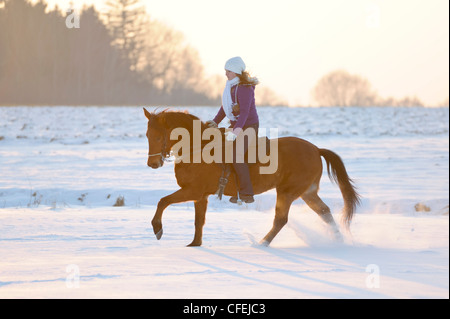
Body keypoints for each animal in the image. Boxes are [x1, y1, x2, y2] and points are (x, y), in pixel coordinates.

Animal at [144, 108, 362, 248]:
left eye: (158, 136)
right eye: (147, 135)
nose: (152, 164)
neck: (200, 148)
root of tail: (316, 149)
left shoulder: (192, 191)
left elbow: (163, 201)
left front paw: (157, 228)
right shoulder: (201, 196)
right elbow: (199, 221)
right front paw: (195, 244)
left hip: (287, 192)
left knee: (281, 219)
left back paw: (262, 243)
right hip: (307, 193)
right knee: (324, 212)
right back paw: (339, 241)